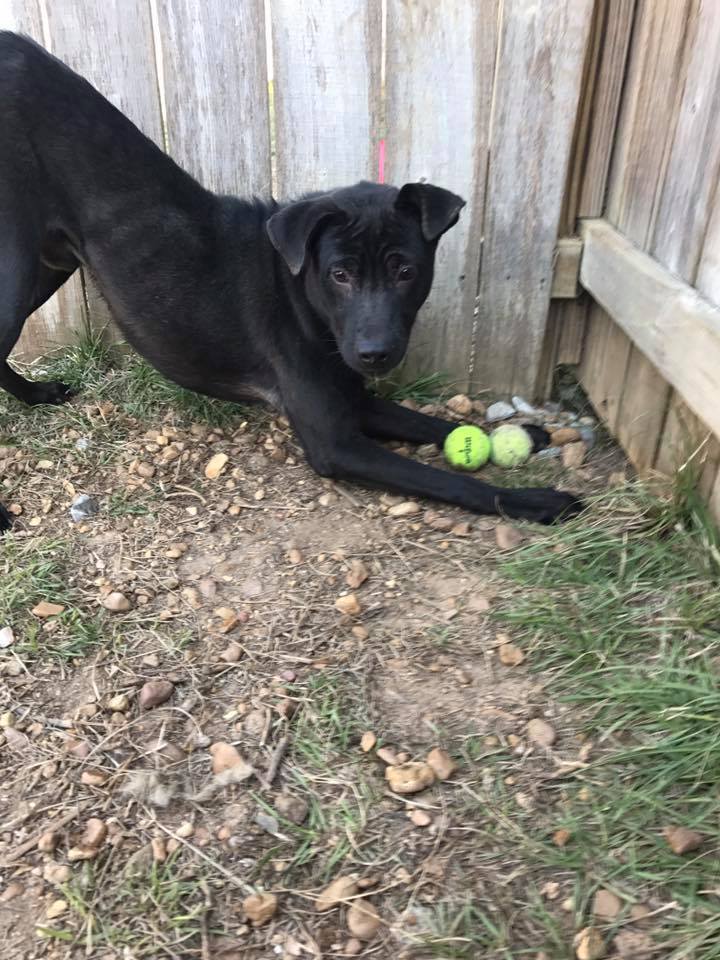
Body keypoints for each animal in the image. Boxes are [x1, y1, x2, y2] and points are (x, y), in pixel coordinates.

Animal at [0, 35, 584, 532]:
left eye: (405, 271)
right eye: (340, 274)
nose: (375, 353)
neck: (302, 299)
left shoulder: (352, 398)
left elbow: (429, 424)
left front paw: (523, 435)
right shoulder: (335, 442)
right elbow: (450, 480)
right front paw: (537, 500)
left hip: (47, 268)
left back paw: (37, 395)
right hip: (16, 270)